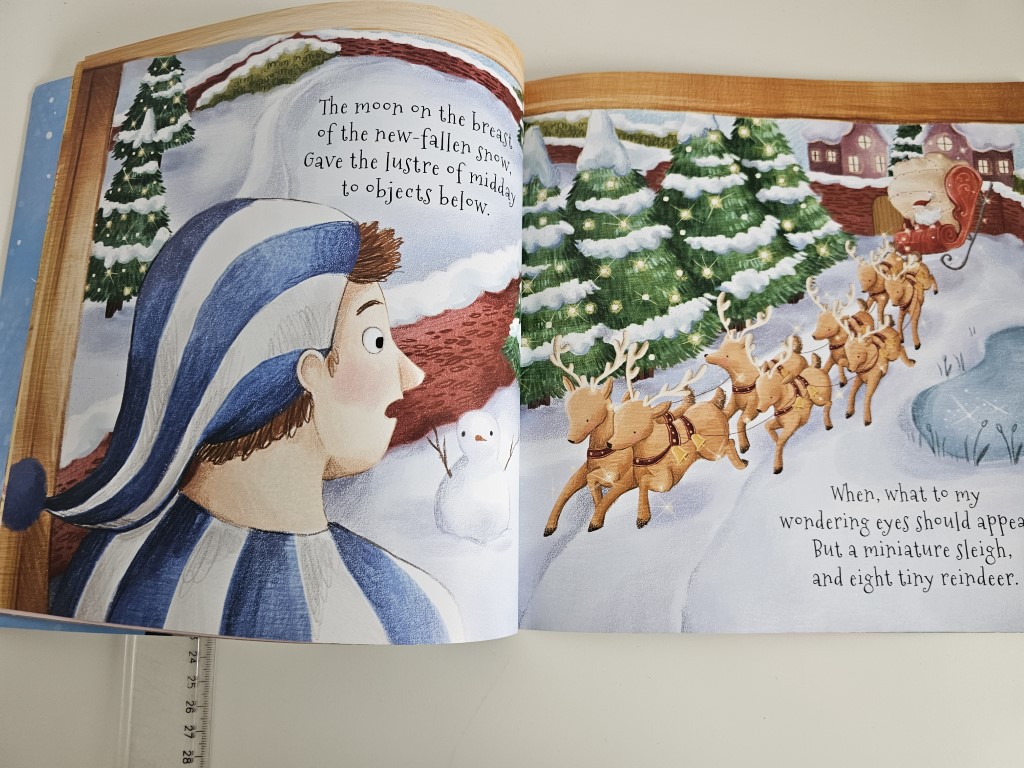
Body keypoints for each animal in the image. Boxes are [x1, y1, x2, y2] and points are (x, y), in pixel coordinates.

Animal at [542, 333, 638, 536]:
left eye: (588, 417)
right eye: (569, 413)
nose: (571, 439)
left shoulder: (620, 474)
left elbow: (599, 485)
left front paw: (595, 520)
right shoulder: (584, 469)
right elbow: (566, 490)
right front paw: (549, 527)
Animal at [595, 364, 747, 531]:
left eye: (633, 430)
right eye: (615, 423)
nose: (610, 444)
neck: (649, 448)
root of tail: (714, 407)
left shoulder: (666, 480)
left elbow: (647, 482)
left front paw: (642, 517)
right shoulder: (634, 477)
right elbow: (626, 489)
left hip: (713, 451)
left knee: (730, 443)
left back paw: (741, 464)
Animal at [703, 293, 772, 454]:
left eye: (727, 355)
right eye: (719, 348)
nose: (706, 355)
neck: (743, 385)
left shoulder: (753, 406)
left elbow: (741, 420)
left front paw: (744, 446)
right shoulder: (733, 402)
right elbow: (725, 414)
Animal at [755, 336, 834, 474]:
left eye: (770, 397)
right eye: (758, 394)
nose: (759, 409)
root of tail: (819, 370)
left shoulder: (790, 425)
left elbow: (780, 441)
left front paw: (777, 466)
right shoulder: (780, 422)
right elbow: (768, 426)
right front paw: (776, 439)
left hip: (819, 399)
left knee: (828, 403)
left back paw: (828, 423)